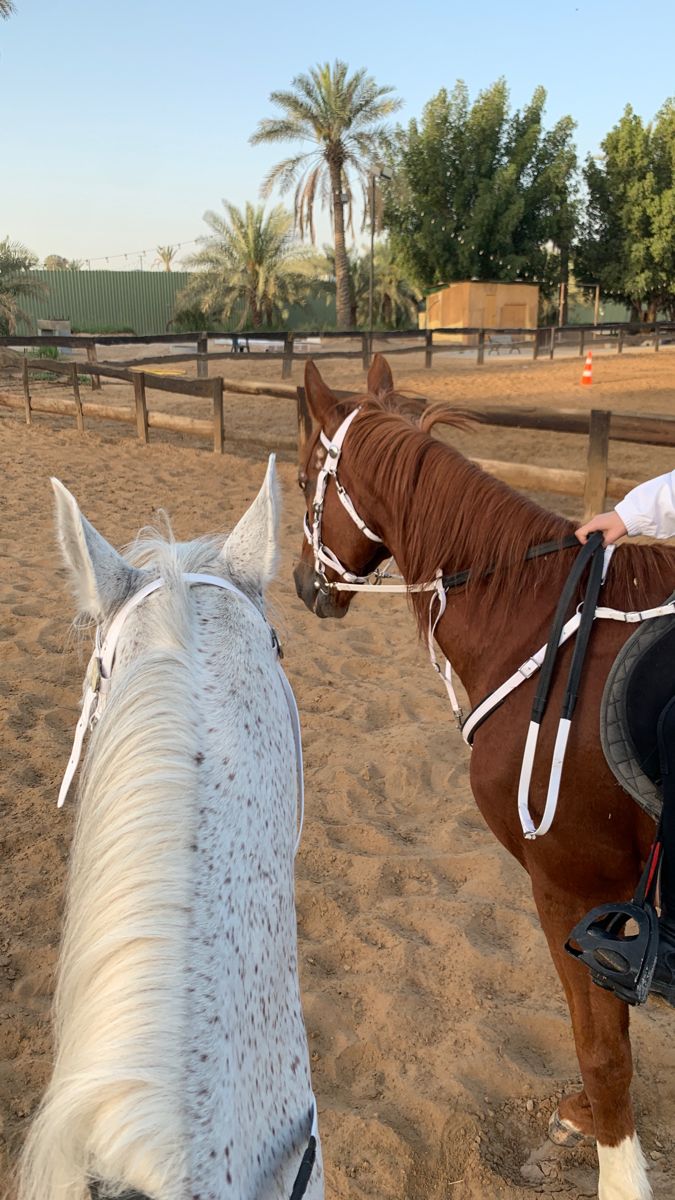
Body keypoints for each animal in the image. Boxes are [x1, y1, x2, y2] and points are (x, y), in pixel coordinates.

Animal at [290, 352, 672, 1200]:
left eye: (301, 481)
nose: (302, 585)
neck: (538, 629)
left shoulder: (570, 887)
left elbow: (603, 1049)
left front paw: (616, 1167)